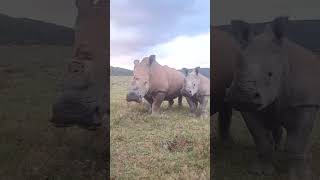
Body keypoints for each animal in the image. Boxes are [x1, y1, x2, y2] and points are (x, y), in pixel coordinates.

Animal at [226, 16, 320, 179]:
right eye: (236, 72)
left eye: (270, 74)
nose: (242, 96)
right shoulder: (250, 108)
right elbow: (261, 139)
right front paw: (259, 171)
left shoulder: (304, 103)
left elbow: (296, 144)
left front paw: (300, 175)